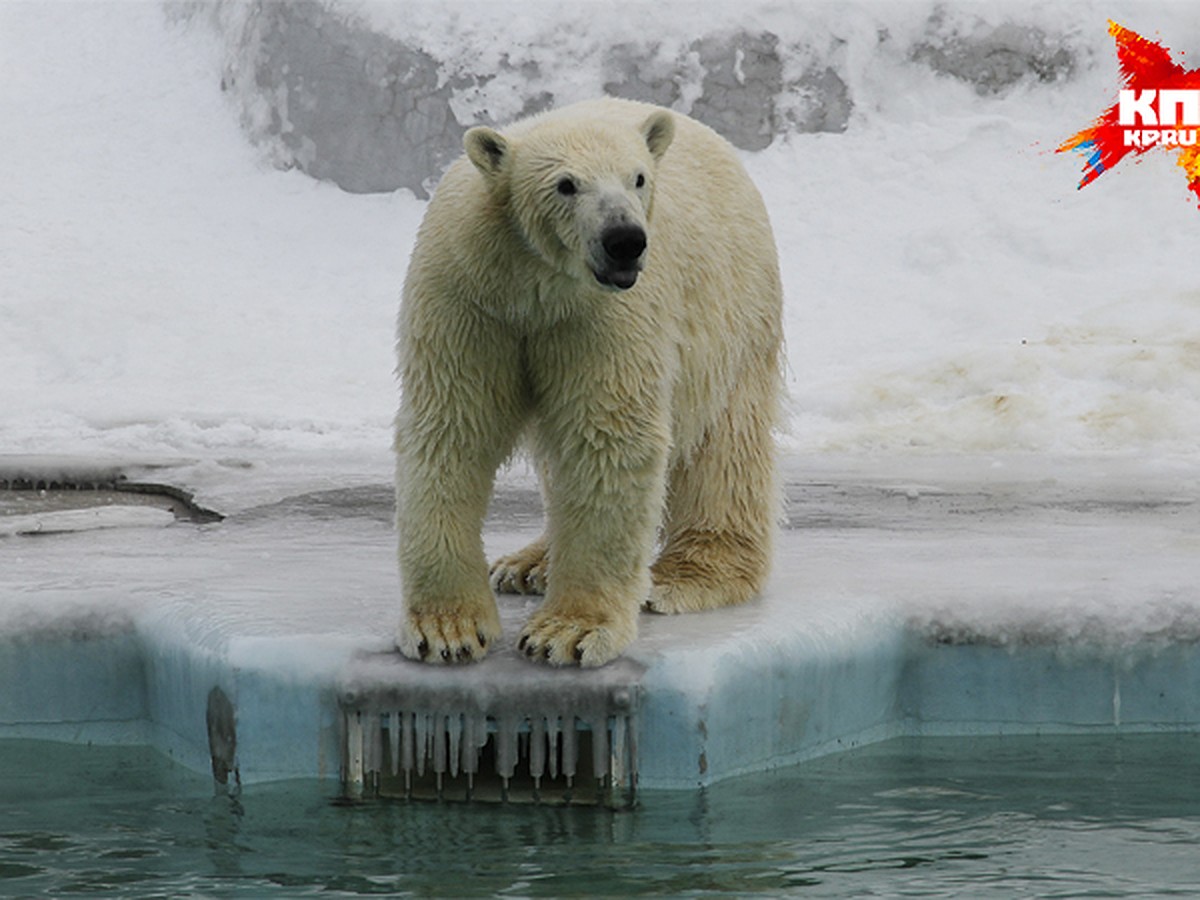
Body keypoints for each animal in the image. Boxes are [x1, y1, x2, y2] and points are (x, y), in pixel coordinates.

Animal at [393, 97, 782, 672]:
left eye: (637, 177)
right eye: (566, 184)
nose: (625, 241)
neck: (534, 283)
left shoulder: (602, 316)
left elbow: (606, 438)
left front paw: (566, 632)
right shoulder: (468, 295)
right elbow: (453, 425)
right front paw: (447, 630)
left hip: (734, 312)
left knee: (725, 448)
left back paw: (687, 575)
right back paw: (527, 564)